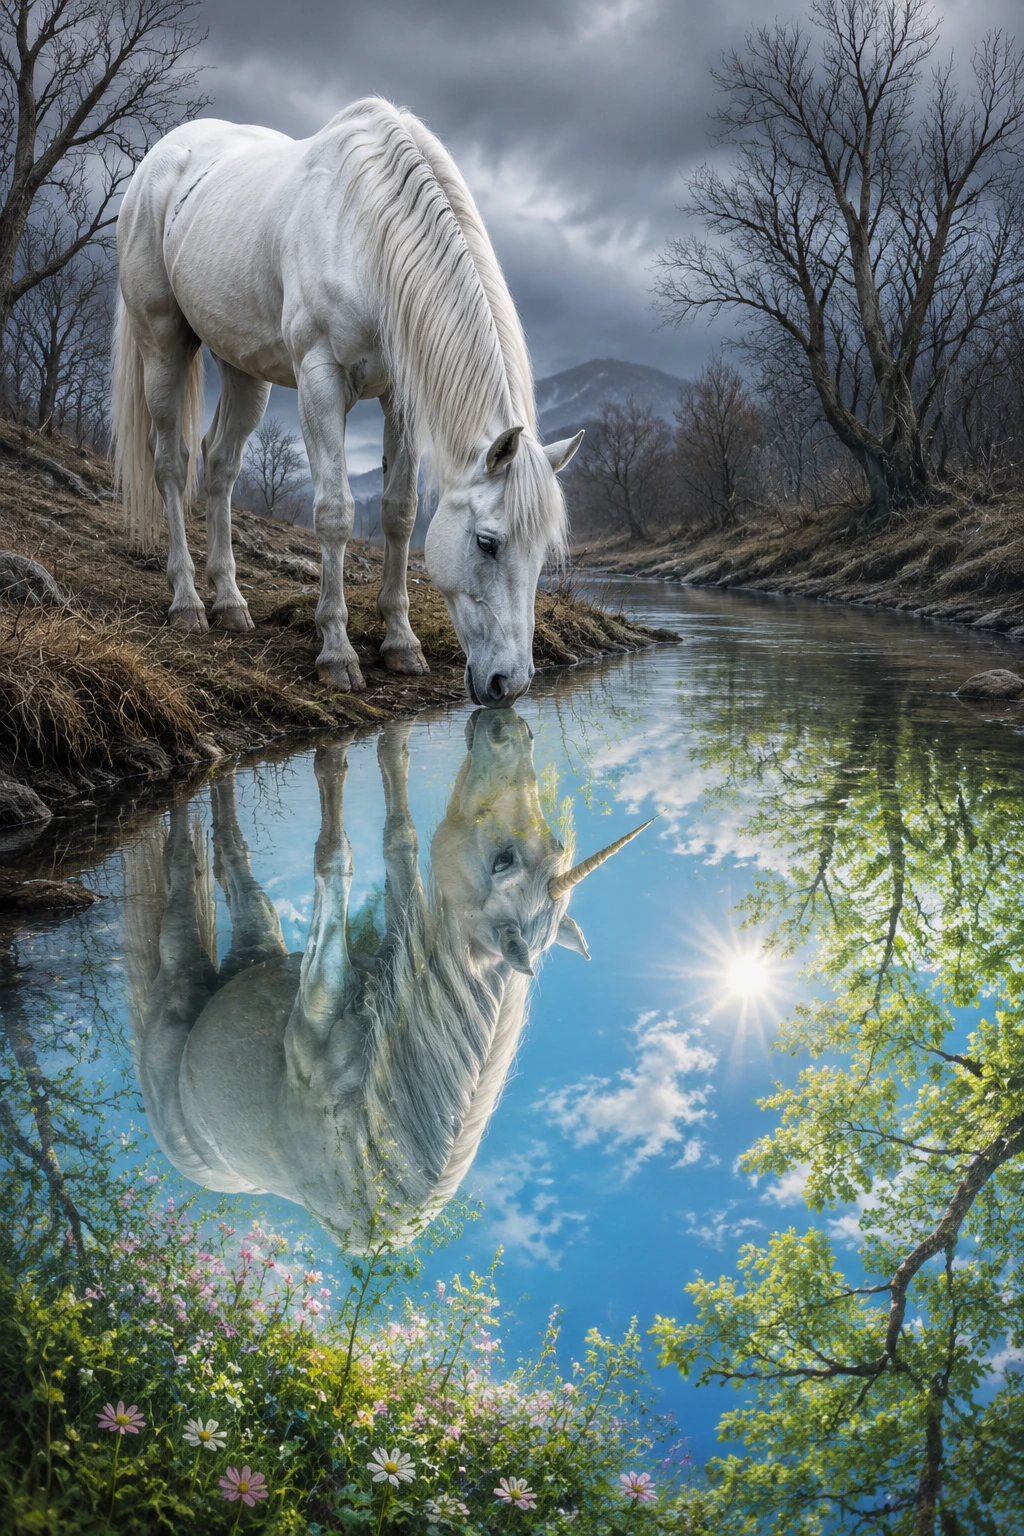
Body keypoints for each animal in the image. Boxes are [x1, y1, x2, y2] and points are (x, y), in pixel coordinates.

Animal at [111, 98, 584, 703]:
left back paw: (231, 603)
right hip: (163, 342)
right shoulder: (321, 379)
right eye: (487, 544)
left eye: (542, 551)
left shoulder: (401, 399)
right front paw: (336, 653)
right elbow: (335, 513)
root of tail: (160, 158)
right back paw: (188, 603)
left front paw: (402, 644)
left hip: (243, 368)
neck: (366, 234)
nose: (509, 683)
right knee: (172, 464)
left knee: (220, 464)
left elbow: (399, 513)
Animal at [124, 712, 650, 1250]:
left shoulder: (317, 1007)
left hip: (203, 963)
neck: (374, 1121)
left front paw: (334, 759)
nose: (509, 725)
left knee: (201, 864)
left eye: (502, 861)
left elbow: (336, 856)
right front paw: (379, 746)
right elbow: (398, 837)